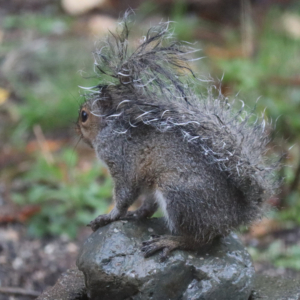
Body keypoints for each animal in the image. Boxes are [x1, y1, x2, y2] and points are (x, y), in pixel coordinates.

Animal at [77, 12, 278, 260]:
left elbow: (124, 195)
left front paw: (110, 216)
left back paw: (170, 241)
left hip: (178, 193)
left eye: (84, 115)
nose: (76, 129)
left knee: (200, 240)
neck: (111, 127)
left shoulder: (122, 161)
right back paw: (139, 216)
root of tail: (235, 216)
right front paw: (125, 215)